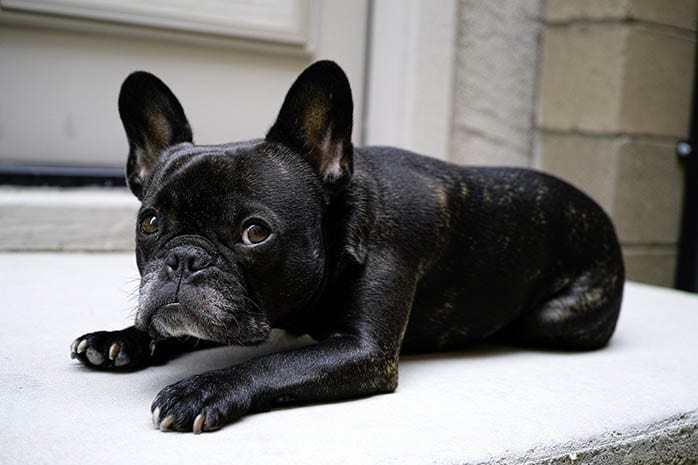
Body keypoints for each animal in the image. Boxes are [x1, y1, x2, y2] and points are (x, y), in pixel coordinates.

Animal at [73, 60, 624, 432]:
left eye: (255, 233)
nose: (184, 258)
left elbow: (272, 362)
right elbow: (180, 331)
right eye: (150, 223)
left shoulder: (363, 351)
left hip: (554, 319)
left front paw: (204, 389)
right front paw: (121, 338)